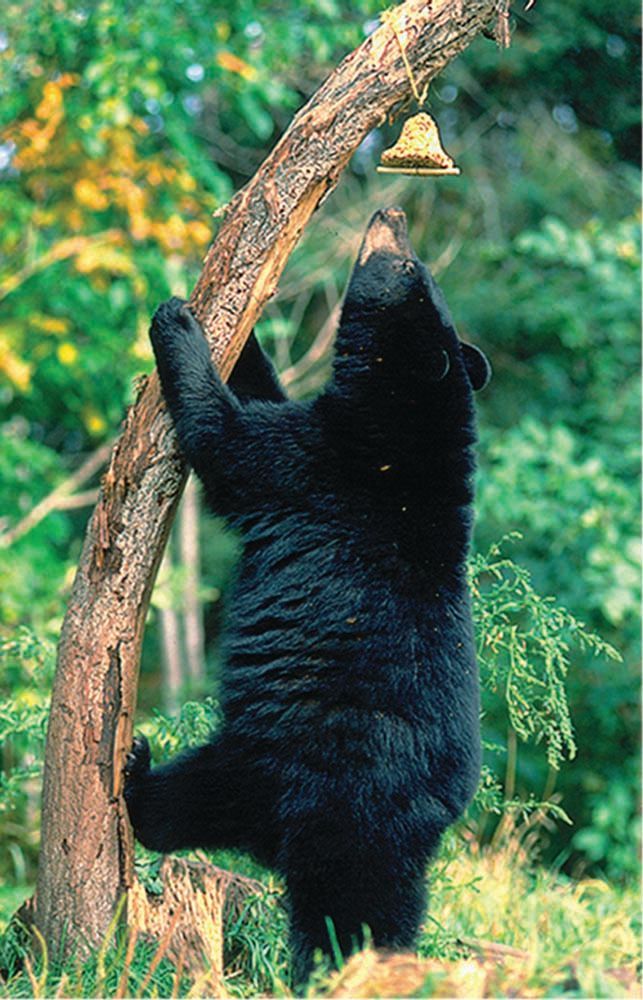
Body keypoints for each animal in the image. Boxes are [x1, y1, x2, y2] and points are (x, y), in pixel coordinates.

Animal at [124, 206, 491, 984]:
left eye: (403, 265)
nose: (390, 213)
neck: (402, 435)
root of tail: (432, 818)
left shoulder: (312, 466)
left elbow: (229, 440)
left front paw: (178, 323)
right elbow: (262, 396)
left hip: (315, 780)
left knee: (214, 818)